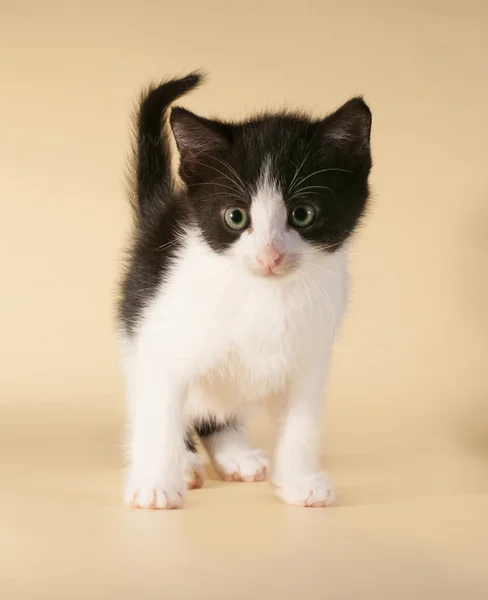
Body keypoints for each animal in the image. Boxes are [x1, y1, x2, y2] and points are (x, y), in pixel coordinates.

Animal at [117, 72, 370, 508]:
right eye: (236, 216)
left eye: (303, 214)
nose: (269, 255)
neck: (265, 295)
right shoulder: (160, 343)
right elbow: (158, 417)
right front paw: (155, 482)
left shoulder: (310, 358)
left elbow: (302, 423)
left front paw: (299, 481)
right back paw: (185, 464)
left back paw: (234, 455)